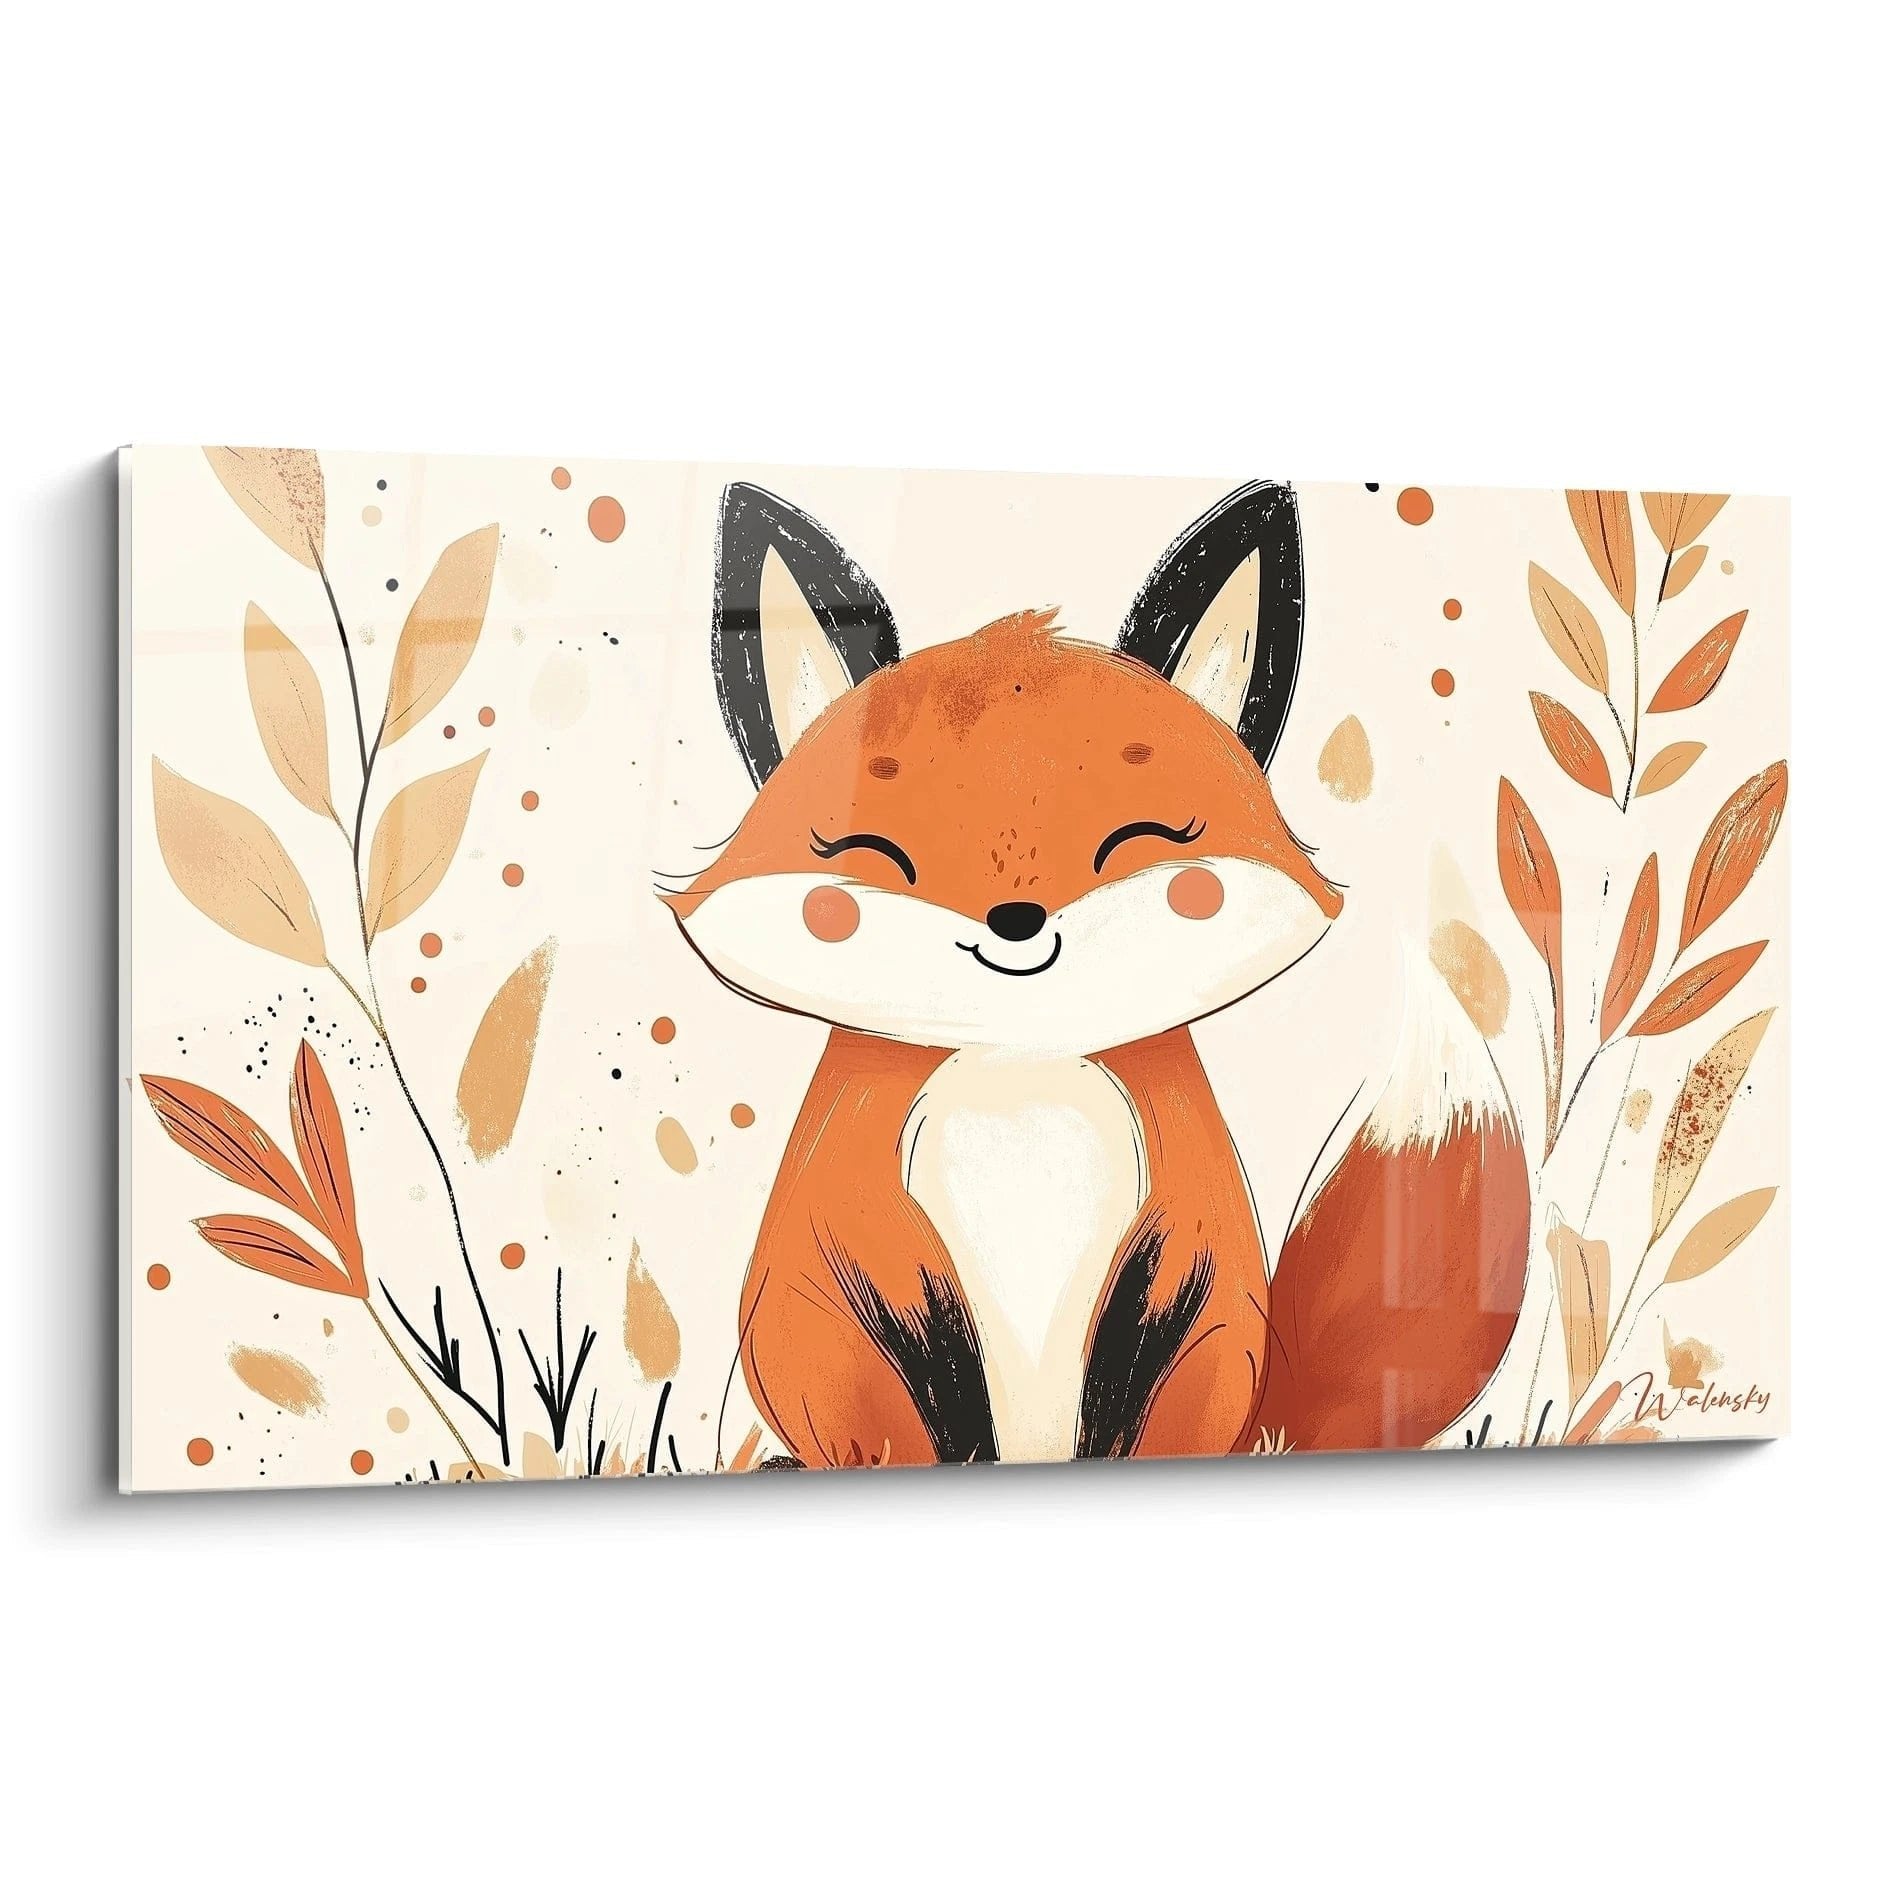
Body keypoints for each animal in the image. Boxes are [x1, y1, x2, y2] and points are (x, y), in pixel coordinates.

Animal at [662, 478, 1530, 1466]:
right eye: (879, 855)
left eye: (1136, 841)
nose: (1015, 921)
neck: (1015, 1068)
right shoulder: (850, 1222)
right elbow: (921, 1360)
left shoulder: (1188, 1225)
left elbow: (1143, 1330)